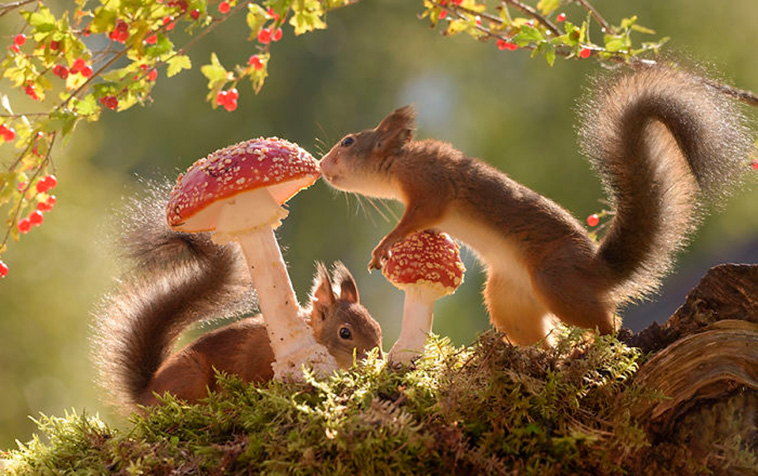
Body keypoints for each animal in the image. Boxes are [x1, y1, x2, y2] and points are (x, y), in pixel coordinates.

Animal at [93, 183, 383, 410]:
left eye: (377, 326)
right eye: (345, 333)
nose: (376, 358)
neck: (310, 334)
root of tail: (145, 395)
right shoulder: (260, 358)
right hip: (190, 375)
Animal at [319, 66, 753, 346]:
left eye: (348, 142)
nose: (322, 166)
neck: (400, 162)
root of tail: (595, 272)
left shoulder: (430, 187)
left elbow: (415, 219)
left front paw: (383, 247)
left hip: (554, 280)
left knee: (606, 321)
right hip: (507, 299)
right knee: (541, 339)